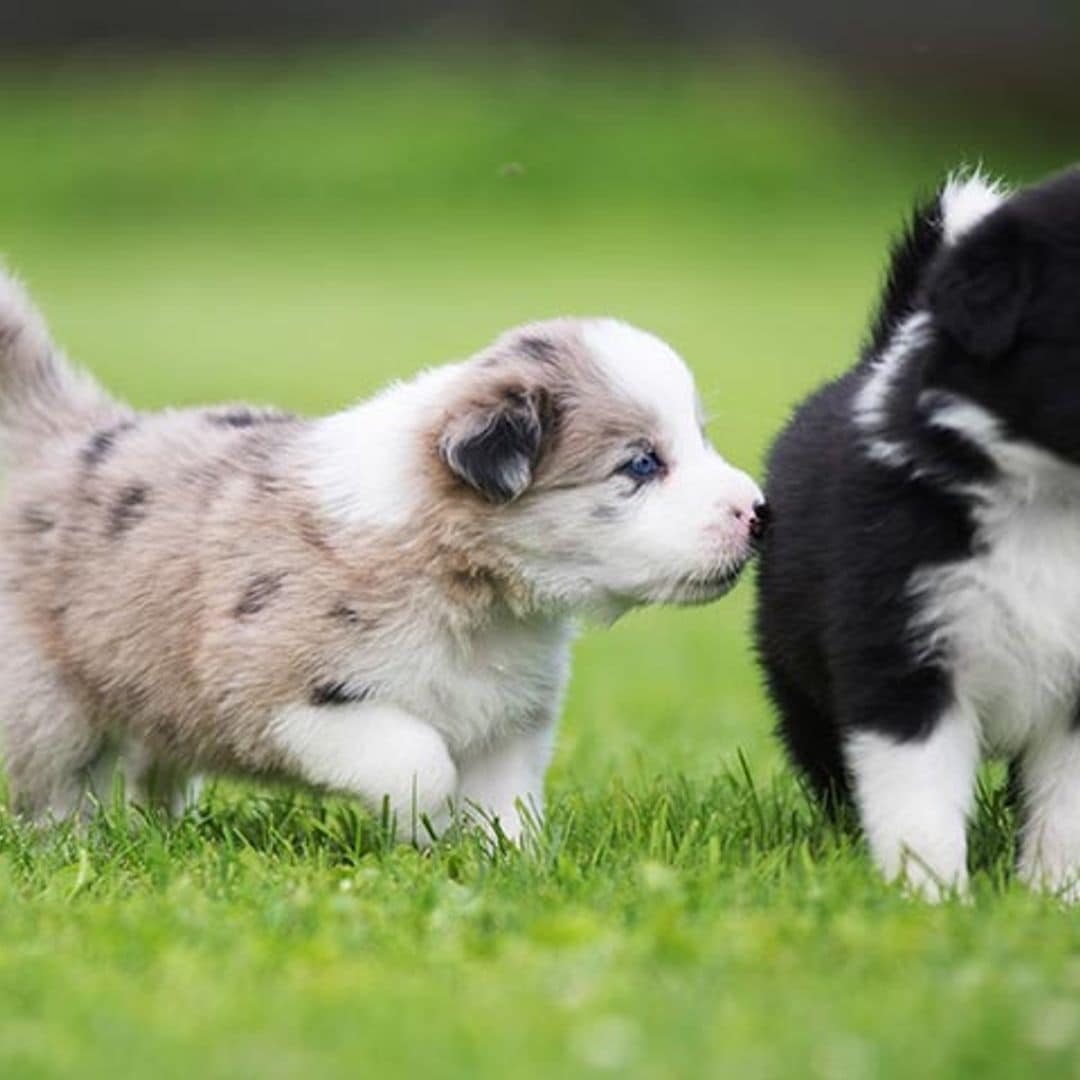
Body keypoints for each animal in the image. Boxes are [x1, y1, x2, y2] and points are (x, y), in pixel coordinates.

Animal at [0, 272, 768, 842]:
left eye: (699, 439)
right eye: (641, 464)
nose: (760, 513)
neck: (476, 596)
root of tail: (63, 435)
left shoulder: (511, 715)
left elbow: (508, 802)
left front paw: (509, 867)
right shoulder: (281, 691)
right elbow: (419, 760)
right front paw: (423, 831)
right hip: (51, 703)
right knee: (59, 787)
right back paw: (79, 847)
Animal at [756, 166, 1080, 894]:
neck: (1050, 506)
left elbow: (1066, 807)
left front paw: (1053, 896)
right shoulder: (899, 654)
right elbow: (918, 799)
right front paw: (929, 896)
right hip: (797, 673)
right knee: (827, 761)